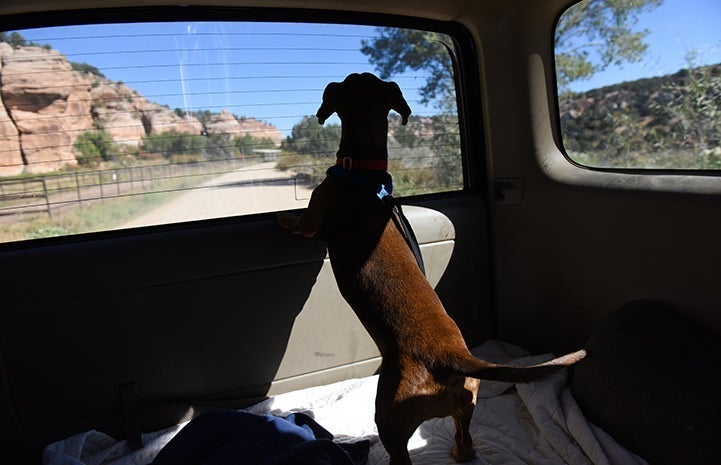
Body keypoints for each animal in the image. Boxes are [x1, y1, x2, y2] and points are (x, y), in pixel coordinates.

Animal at [276, 70, 584, 462]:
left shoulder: (314, 217)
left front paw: (283, 219)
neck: (363, 174)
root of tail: (451, 359)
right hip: (466, 404)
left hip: (390, 419)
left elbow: (302, 224)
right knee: (465, 440)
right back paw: (460, 452)